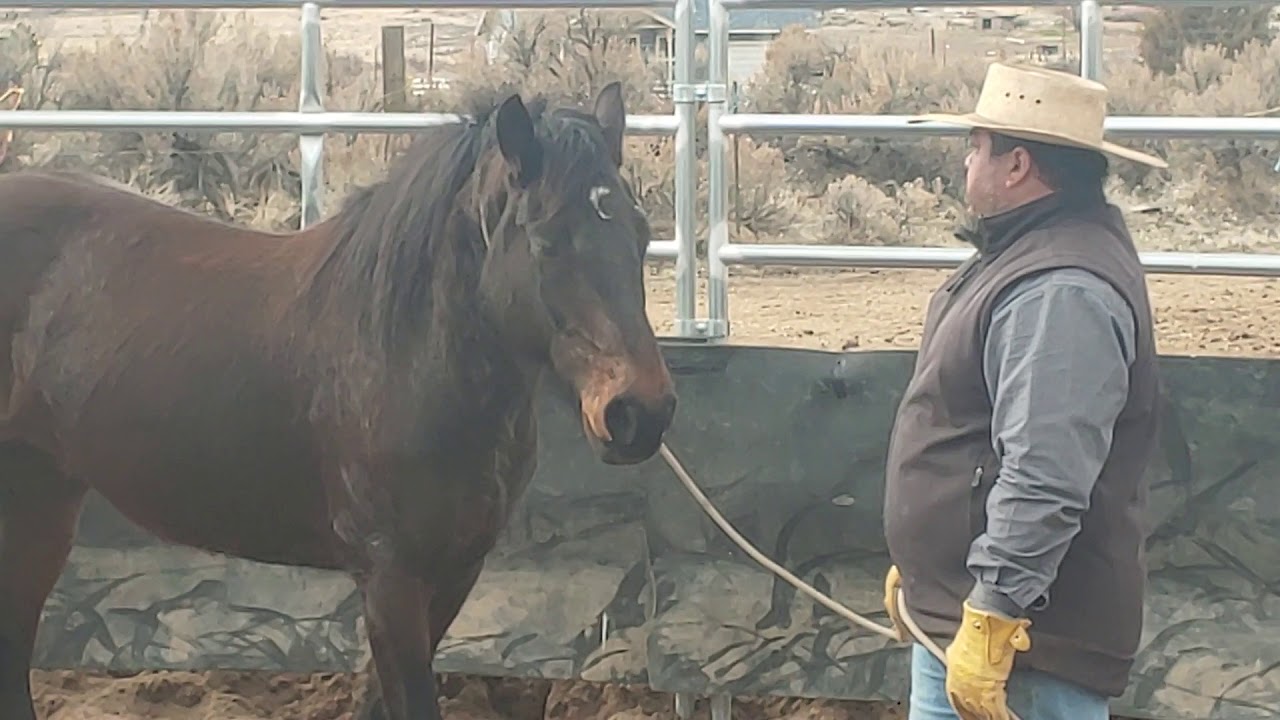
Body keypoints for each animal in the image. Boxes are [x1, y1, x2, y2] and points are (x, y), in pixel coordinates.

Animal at [0, 81, 677, 720]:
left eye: (642, 234)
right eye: (546, 241)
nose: (639, 413)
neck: (405, 355)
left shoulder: (456, 571)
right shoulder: (390, 580)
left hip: (40, 504)